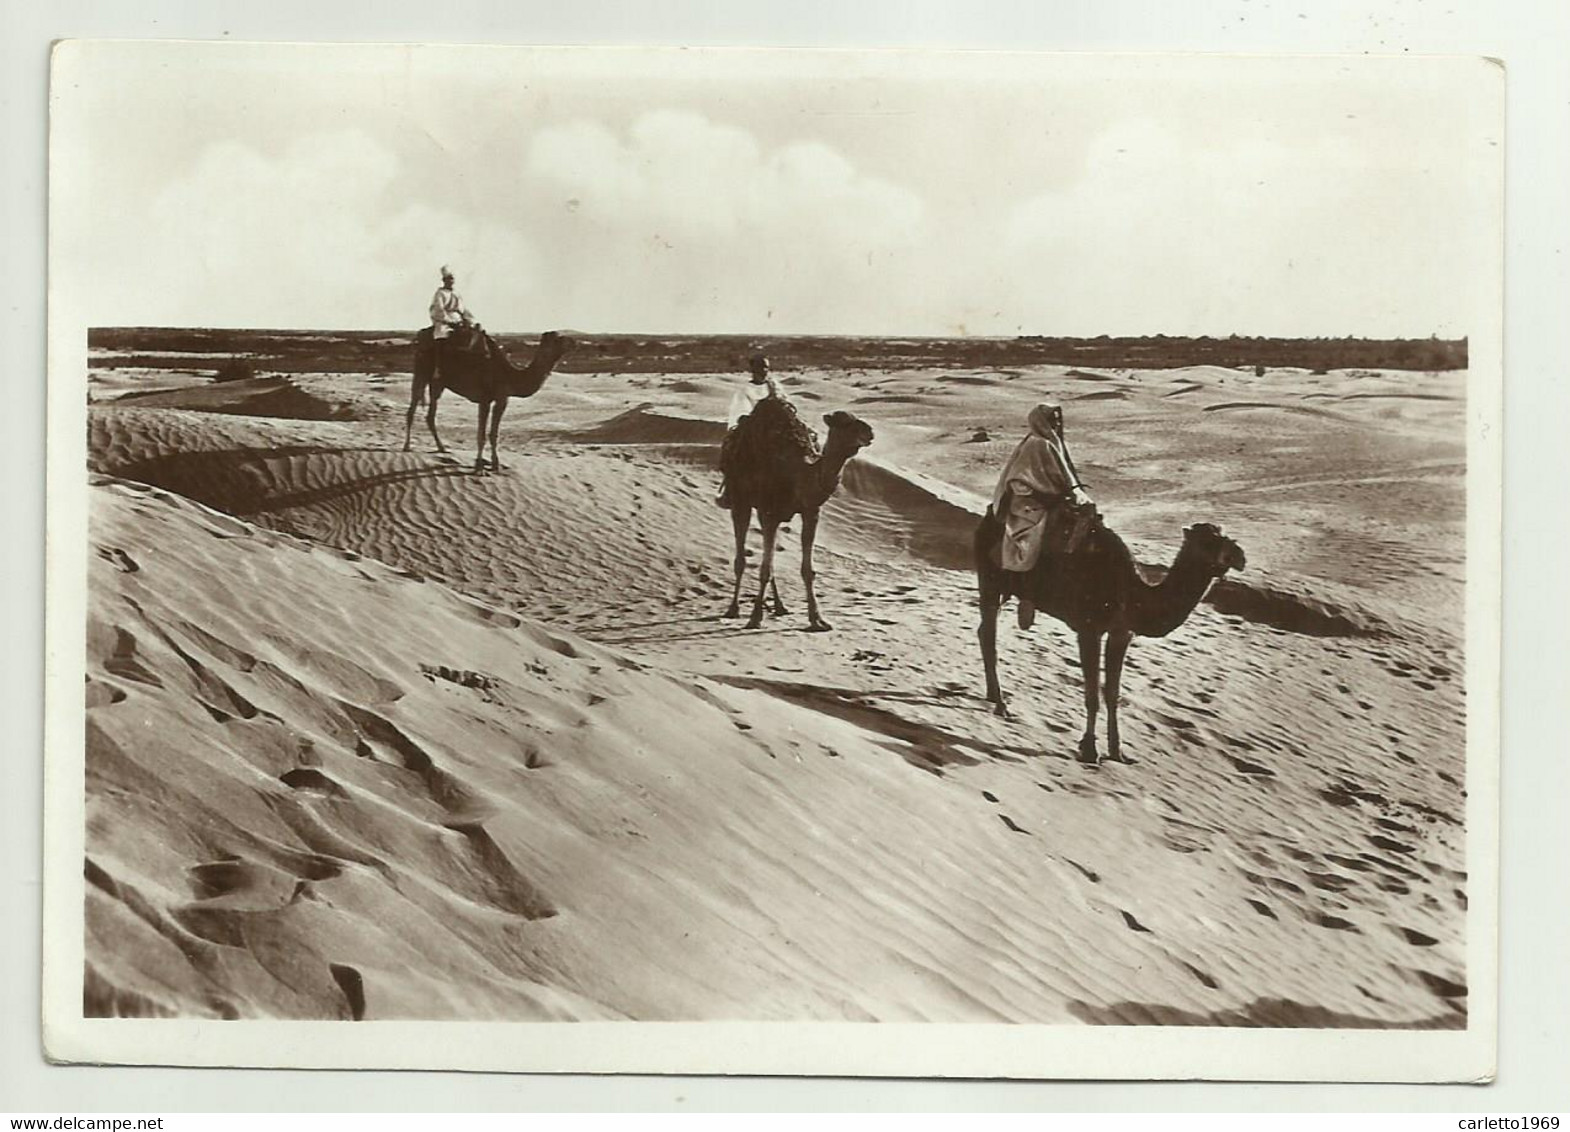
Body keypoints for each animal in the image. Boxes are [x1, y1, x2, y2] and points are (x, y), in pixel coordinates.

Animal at [405, 324, 577, 471]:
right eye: (559, 339)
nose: (575, 342)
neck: (510, 375)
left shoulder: (502, 399)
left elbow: (494, 434)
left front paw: (495, 464)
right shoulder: (485, 399)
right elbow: (481, 434)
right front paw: (479, 467)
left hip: (438, 383)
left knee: (430, 414)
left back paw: (442, 448)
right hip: (421, 372)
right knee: (412, 409)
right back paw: (406, 446)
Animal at [725, 405, 879, 631]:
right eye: (844, 422)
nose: (869, 432)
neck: (803, 474)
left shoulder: (811, 512)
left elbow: (807, 570)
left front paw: (818, 619)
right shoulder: (770, 512)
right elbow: (764, 569)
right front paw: (755, 618)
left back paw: (780, 607)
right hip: (740, 500)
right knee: (742, 557)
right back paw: (733, 609)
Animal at [973, 508, 1243, 763]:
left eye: (1224, 533)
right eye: (1207, 541)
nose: (1240, 556)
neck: (1132, 595)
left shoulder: (1122, 633)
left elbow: (1113, 693)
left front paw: (1117, 752)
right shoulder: (1089, 629)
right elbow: (1092, 693)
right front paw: (1089, 750)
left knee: (983, 631)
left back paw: (992, 695)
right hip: (990, 579)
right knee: (989, 635)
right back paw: (1001, 705)